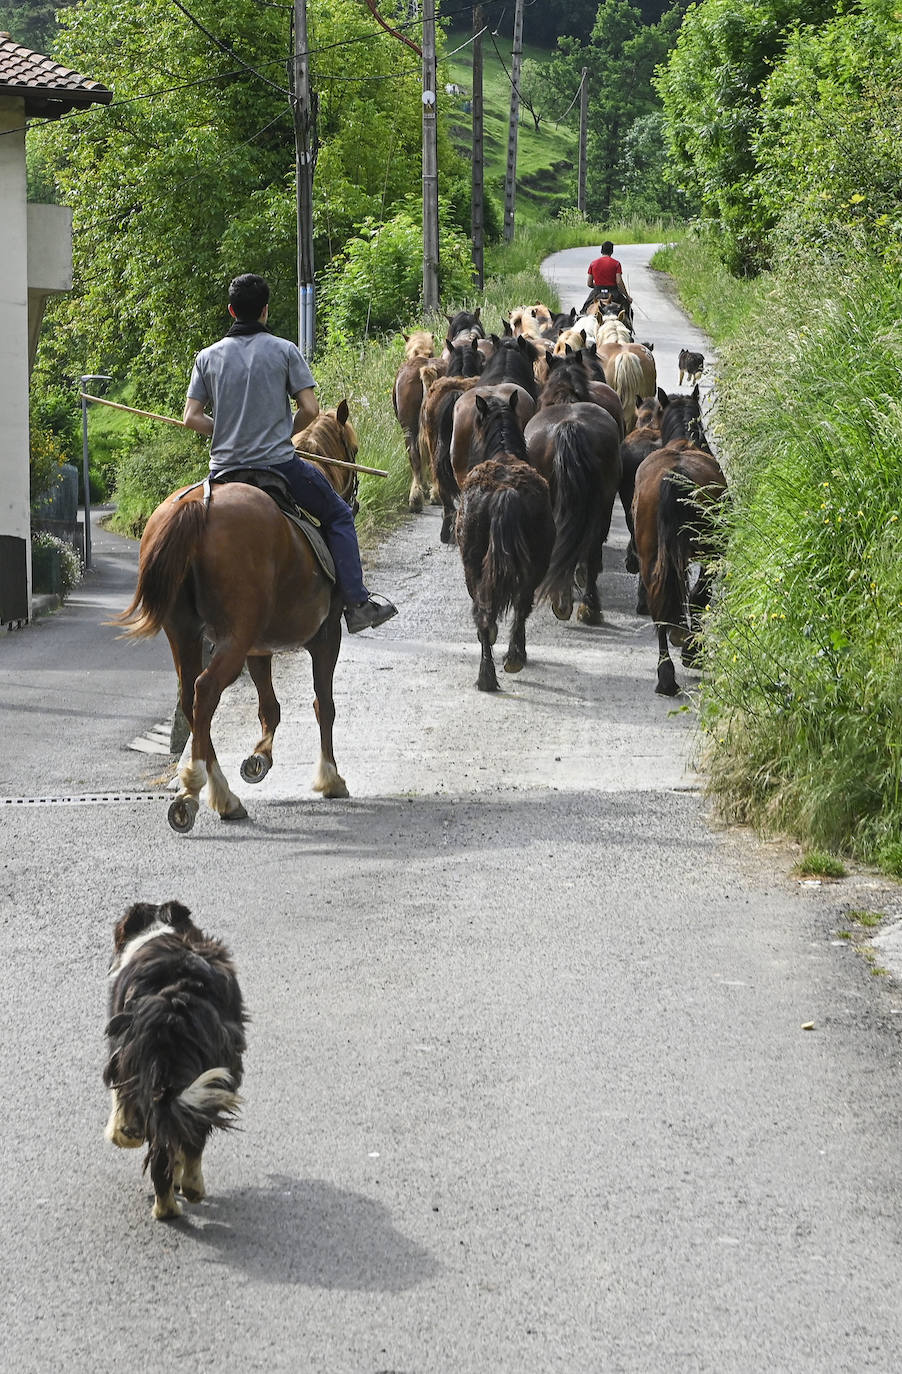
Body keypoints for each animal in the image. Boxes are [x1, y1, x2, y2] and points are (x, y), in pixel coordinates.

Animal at [104, 906, 246, 1220]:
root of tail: (174, 1001)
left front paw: (124, 1133)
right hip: (209, 1074)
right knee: (191, 1136)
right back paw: (188, 1190)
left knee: (165, 1144)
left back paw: (166, 1205)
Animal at [116, 478, 349, 829]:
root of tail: (199, 504)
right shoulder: (327, 637)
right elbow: (324, 705)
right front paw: (330, 778)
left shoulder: (259, 648)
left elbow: (270, 708)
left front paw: (259, 758)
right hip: (233, 639)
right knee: (206, 690)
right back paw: (193, 791)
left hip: (184, 632)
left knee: (191, 697)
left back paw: (222, 796)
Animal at [453, 392, 552, 692]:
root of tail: (506, 491)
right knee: (520, 606)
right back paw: (511, 659)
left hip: (473, 565)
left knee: (488, 612)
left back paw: (490, 672)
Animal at [629, 442, 731, 697]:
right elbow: (698, 596)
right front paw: (691, 649)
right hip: (709, 550)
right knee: (693, 596)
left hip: (652, 554)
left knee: (659, 606)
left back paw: (666, 676)